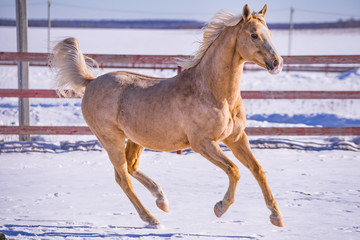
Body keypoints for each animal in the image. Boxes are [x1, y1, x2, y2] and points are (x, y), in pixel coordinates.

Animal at [52, 4, 286, 228]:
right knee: (123, 178)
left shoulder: (236, 138)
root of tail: (91, 82)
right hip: (111, 139)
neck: (215, 93)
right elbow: (234, 170)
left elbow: (258, 170)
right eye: (254, 35)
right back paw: (152, 219)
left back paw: (161, 200)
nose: (277, 63)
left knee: (131, 167)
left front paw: (277, 218)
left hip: (137, 139)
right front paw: (220, 208)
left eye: (269, 33)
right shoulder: (202, 143)